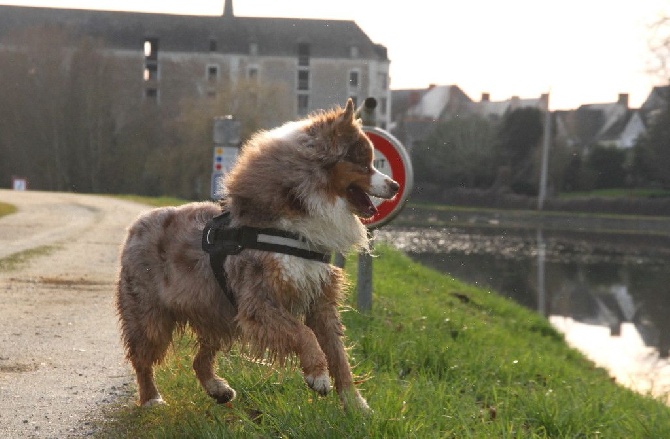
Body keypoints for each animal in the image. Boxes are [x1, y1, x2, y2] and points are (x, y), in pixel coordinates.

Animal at [115, 99, 400, 412]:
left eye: (372, 161)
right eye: (362, 163)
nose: (396, 186)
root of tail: (137, 224)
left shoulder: (320, 298)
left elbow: (338, 355)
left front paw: (356, 405)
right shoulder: (258, 301)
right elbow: (303, 334)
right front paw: (317, 375)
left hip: (219, 313)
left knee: (199, 360)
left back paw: (217, 389)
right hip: (150, 314)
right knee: (142, 357)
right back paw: (151, 397)